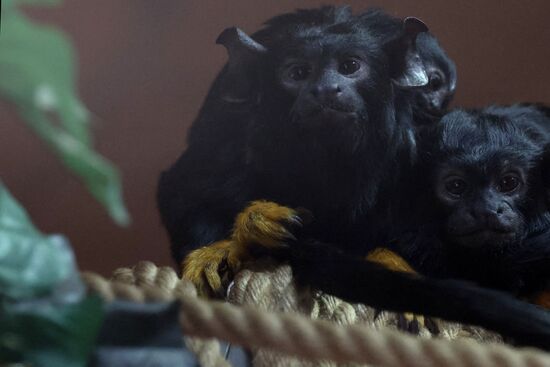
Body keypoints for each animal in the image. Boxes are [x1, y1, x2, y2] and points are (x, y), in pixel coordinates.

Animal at [156, 7, 550, 350]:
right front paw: (228, 241)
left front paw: (390, 263)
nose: (325, 89)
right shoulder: (230, 122)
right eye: (298, 73)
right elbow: (186, 186)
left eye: (349, 67)